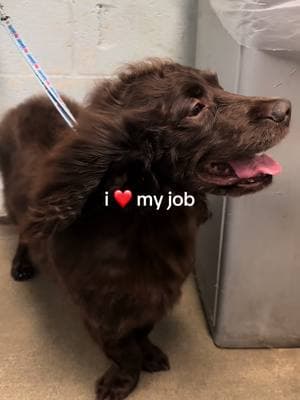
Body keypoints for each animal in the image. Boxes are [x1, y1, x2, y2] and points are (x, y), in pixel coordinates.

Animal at [0, 59, 290, 400]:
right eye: (195, 107)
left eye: (218, 85)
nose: (286, 108)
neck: (147, 222)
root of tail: (27, 103)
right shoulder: (103, 311)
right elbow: (124, 351)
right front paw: (122, 381)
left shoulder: (155, 296)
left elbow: (142, 333)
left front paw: (149, 354)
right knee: (24, 233)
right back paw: (21, 264)